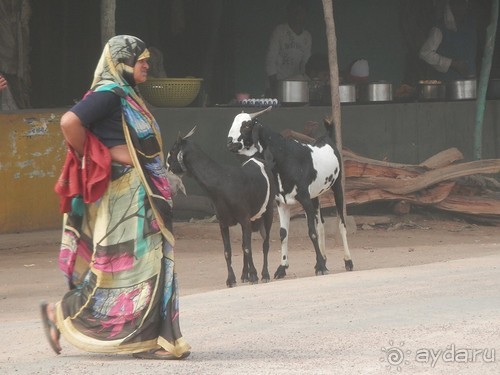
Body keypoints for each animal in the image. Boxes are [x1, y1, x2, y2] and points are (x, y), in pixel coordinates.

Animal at [166, 128, 274, 290]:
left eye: (173, 150)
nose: (167, 166)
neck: (222, 182)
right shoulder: (223, 222)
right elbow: (228, 251)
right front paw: (231, 280)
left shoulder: (244, 218)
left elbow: (247, 248)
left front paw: (254, 276)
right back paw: (244, 275)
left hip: (268, 211)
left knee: (265, 243)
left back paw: (265, 274)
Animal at [227, 107, 352, 278]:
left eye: (246, 125)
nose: (229, 142)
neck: (286, 158)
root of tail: (326, 138)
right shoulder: (282, 203)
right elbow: (283, 233)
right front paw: (282, 268)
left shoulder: (305, 200)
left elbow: (311, 232)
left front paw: (320, 266)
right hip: (315, 196)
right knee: (321, 225)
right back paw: (324, 259)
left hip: (337, 187)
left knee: (341, 223)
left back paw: (347, 261)